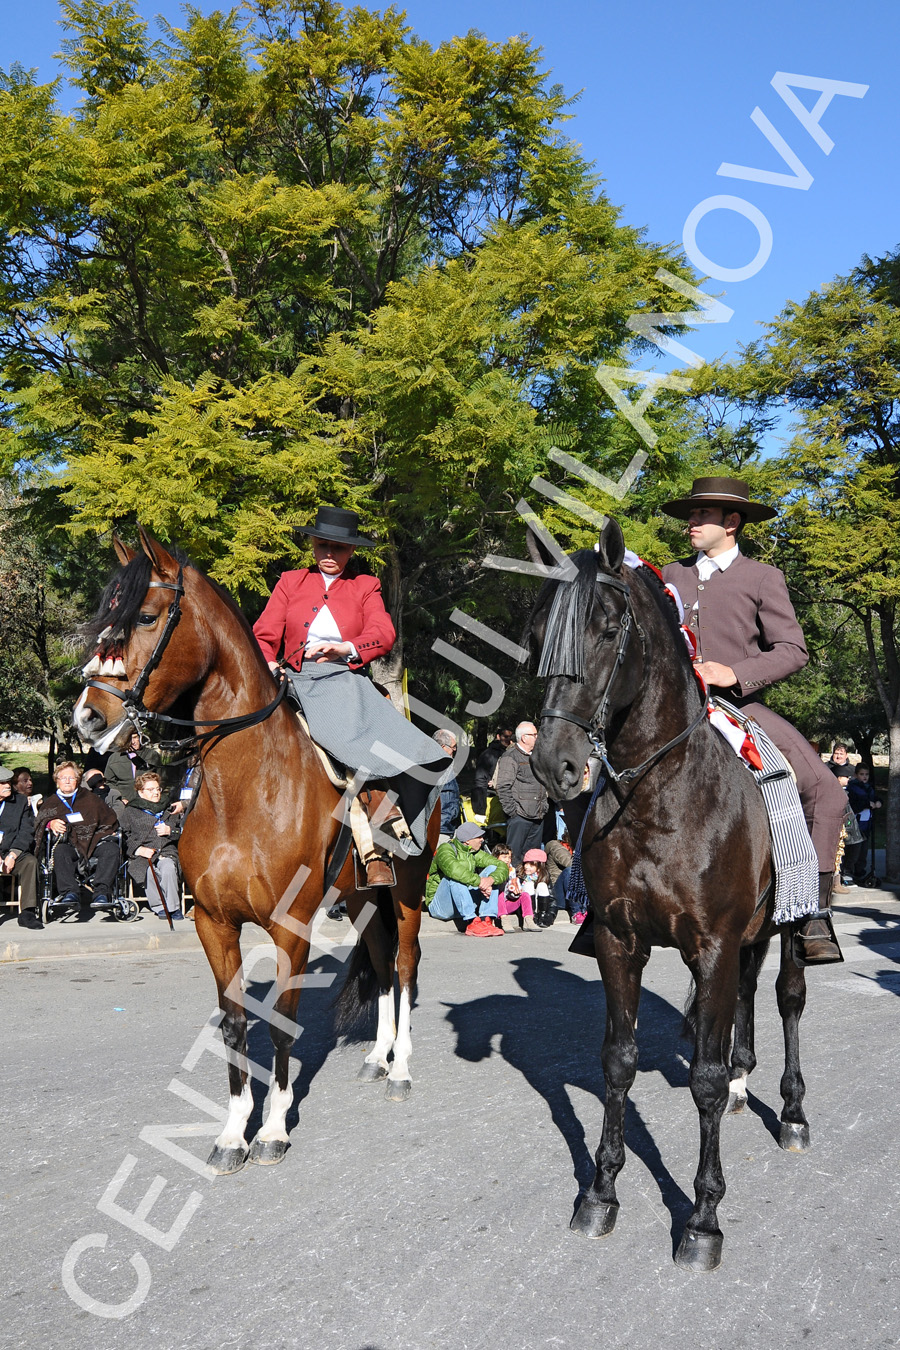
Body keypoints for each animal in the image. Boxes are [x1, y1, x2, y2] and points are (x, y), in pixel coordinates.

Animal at [75, 526, 442, 1171]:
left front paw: (272, 1130)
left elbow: (280, 1025)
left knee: (402, 963)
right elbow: (234, 1023)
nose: (88, 718)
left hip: (409, 891)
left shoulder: (290, 926)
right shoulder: (213, 924)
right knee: (378, 961)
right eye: (102, 618)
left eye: (143, 616)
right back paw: (378, 1058)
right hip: (362, 897)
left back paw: (400, 1069)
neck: (243, 790)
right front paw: (231, 1133)